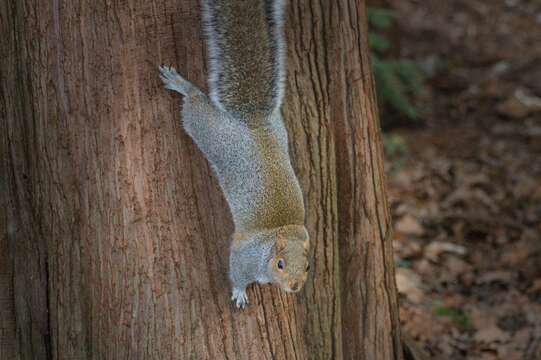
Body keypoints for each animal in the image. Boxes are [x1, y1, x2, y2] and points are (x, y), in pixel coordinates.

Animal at [157, 0, 308, 310]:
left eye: (308, 266)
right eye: (280, 264)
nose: (295, 287)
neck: (282, 232)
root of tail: (253, 121)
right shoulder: (243, 257)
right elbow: (236, 273)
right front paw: (239, 292)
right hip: (208, 131)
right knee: (195, 106)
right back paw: (181, 84)